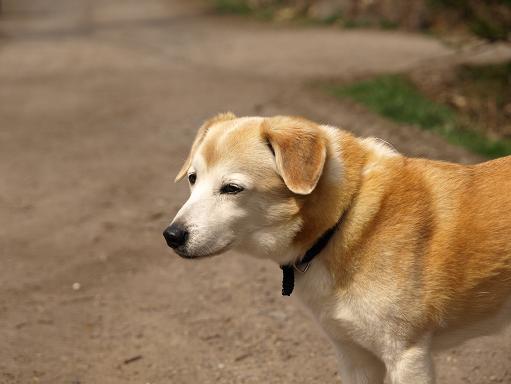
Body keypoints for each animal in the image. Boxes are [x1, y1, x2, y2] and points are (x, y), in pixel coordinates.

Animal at [164, 114, 511, 384]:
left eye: (232, 188)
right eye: (193, 178)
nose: (171, 236)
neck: (342, 219)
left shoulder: (407, 356)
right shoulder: (354, 356)